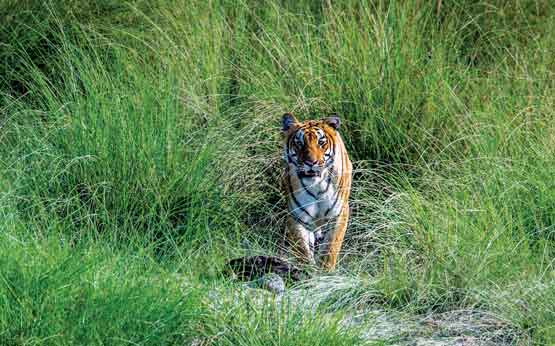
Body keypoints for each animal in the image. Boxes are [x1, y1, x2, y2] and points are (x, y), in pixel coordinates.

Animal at [280, 113, 354, 270]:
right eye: (299, 143)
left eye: (321, 142)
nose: (311, 162)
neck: (316, 186)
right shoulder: (297, 217)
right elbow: (302, 249)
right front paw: (307, 270)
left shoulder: (339, 214)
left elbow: (330, 247)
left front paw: (326, 270)